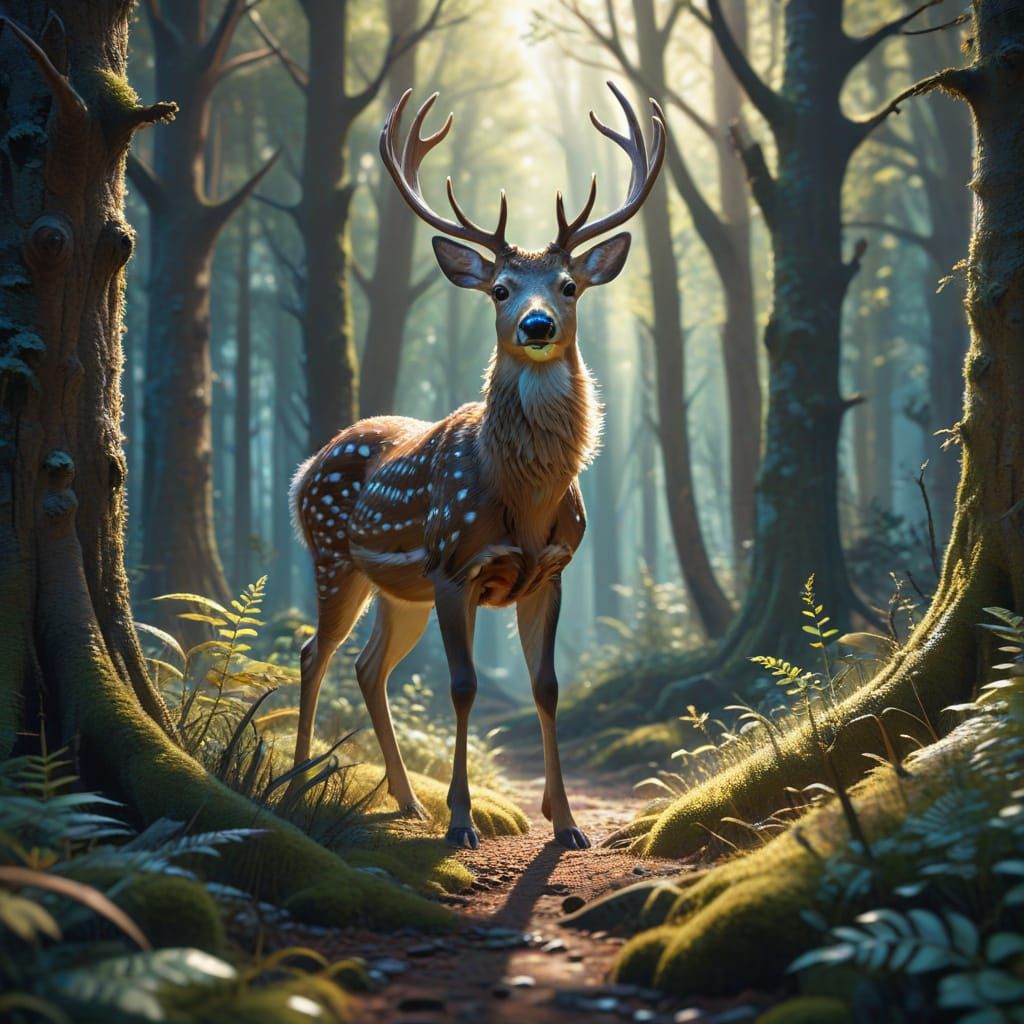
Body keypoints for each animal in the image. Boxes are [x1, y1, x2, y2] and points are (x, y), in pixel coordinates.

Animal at [289, 81, 665, 849]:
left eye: (568, 285)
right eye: (500, 289)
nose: (536, 325)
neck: (524, 501)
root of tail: (305, 468)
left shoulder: (551, 569)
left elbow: (547, 686)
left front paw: (566, 823)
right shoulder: (453, 563)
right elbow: (462, 687)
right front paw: (463, 822)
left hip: (397, 590)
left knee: (367, 666)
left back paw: (407, 801)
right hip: (337, 557)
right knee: (315, 653)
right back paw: (303, 785)